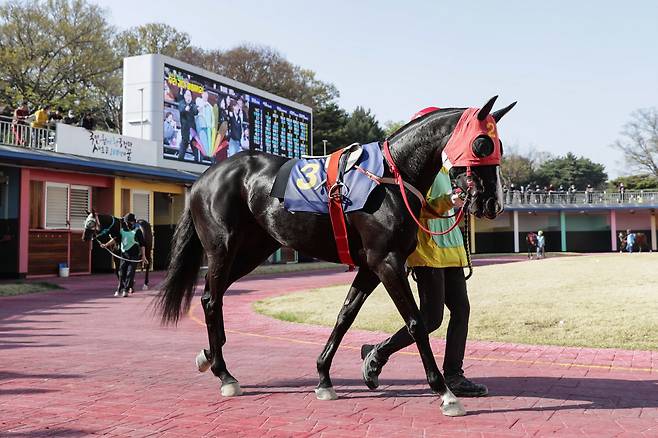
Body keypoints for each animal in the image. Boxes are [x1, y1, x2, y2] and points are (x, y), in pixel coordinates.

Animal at [156, 96, 516, 418]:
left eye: (498, 145)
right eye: (482, 144)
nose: (492, 202)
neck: (390, 177)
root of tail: (204, 178)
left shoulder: (371, 266)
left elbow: (346, 316)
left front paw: (324, 376)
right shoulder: (387, 261)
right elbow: (415, 322)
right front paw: (445, 393)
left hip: (254, 250)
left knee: (212, 295)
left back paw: (210, 354)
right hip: (224, 247)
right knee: (211, 299)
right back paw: (224, 373)